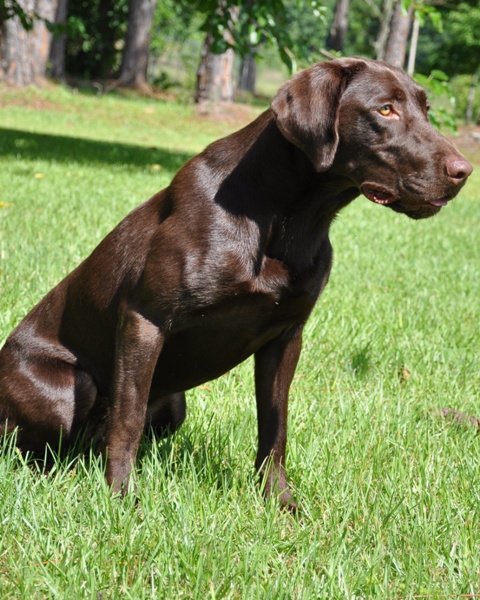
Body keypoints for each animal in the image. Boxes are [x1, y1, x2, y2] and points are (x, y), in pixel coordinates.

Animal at [0, 57, 472, 510]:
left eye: (426, 110)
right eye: (385, 110)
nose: (463, 171)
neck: (289, 220)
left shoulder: (286, 336)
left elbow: (275, 427)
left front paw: (279, 501)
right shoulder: (144, 319)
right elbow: (127, 419)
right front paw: (121, 499)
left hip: (173, 404)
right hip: (69, 388)